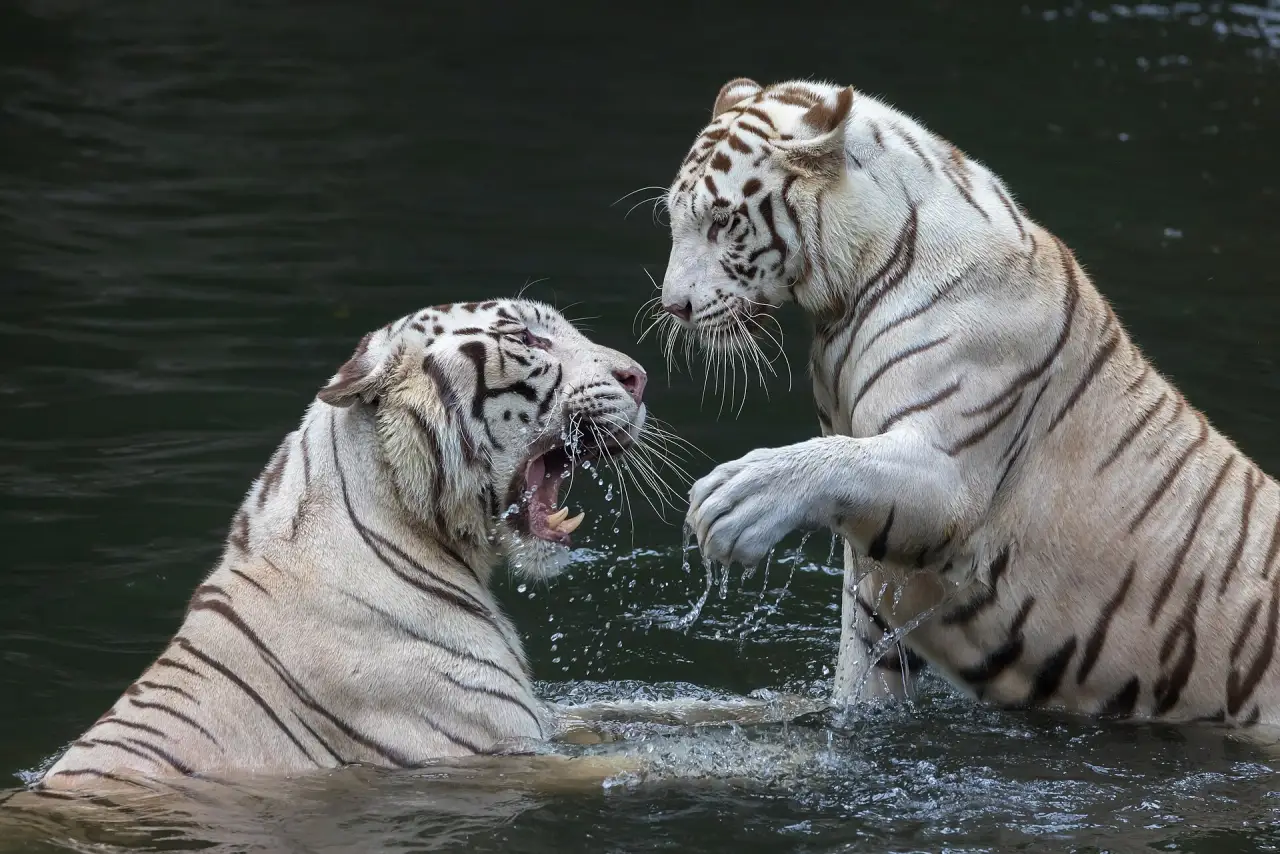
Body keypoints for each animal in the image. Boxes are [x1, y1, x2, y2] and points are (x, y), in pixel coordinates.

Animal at [653, 76, 1280, 728]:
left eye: (723, 222)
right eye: (675, 217)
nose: (672, 306)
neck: (848, 293)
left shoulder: (949, 476)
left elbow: (838, 460)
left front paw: (733, 502)